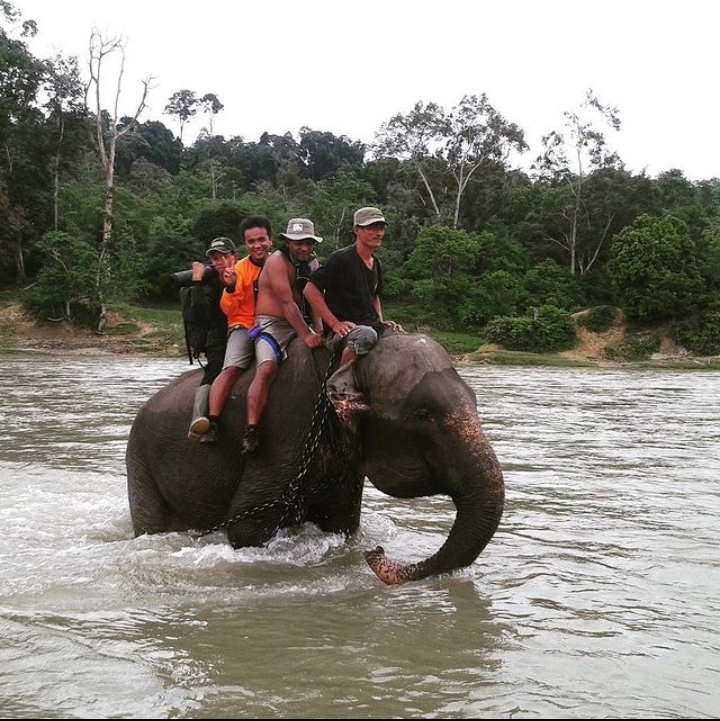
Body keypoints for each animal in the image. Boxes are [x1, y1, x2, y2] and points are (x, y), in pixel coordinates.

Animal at [125, 332, 506, 584]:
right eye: (423, 414)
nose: (376, 552)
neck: (344, 359)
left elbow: (342, 521)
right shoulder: (283, 431)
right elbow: (247, 526)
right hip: (140, 463)